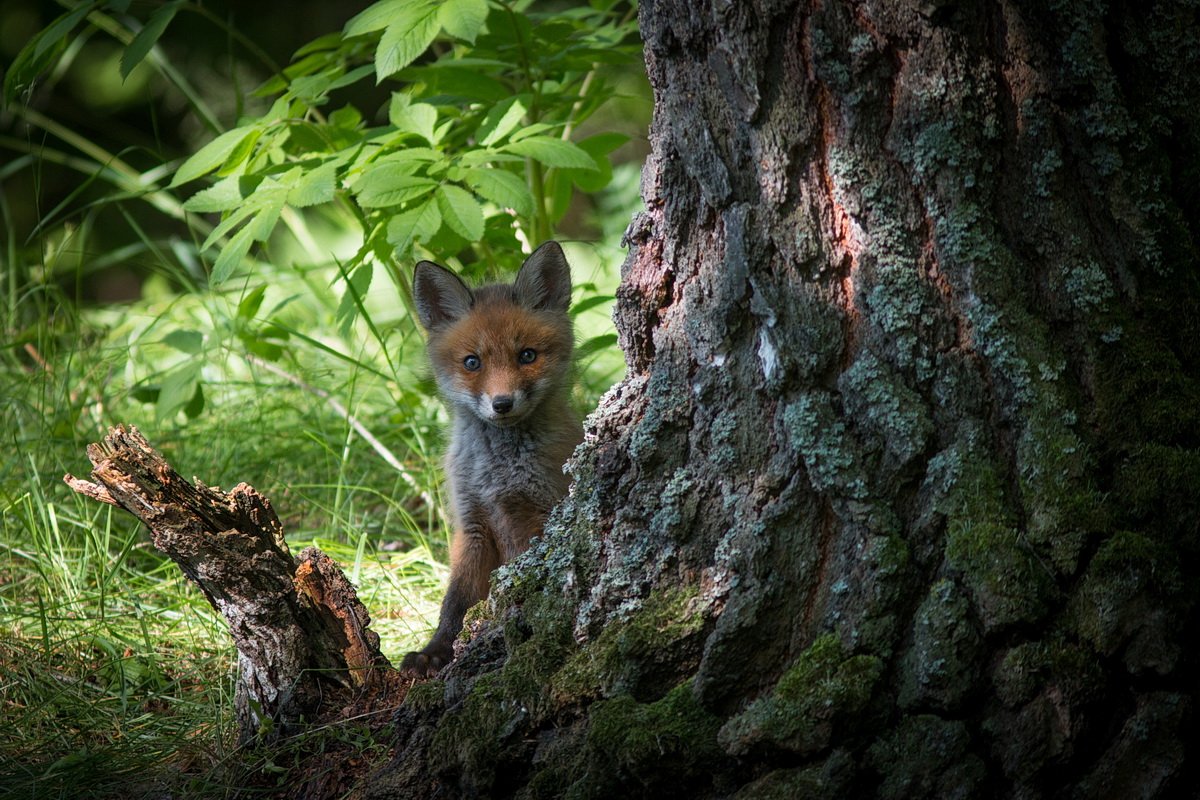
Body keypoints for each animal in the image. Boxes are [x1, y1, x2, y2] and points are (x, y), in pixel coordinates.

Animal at [405, 242, 583, 676]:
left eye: (527, 356)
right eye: (473, 362)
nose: (502, 404)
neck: (497, 473)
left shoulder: (540, 514)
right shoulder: (473, 525)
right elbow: (455, 602)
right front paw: (435, 651)